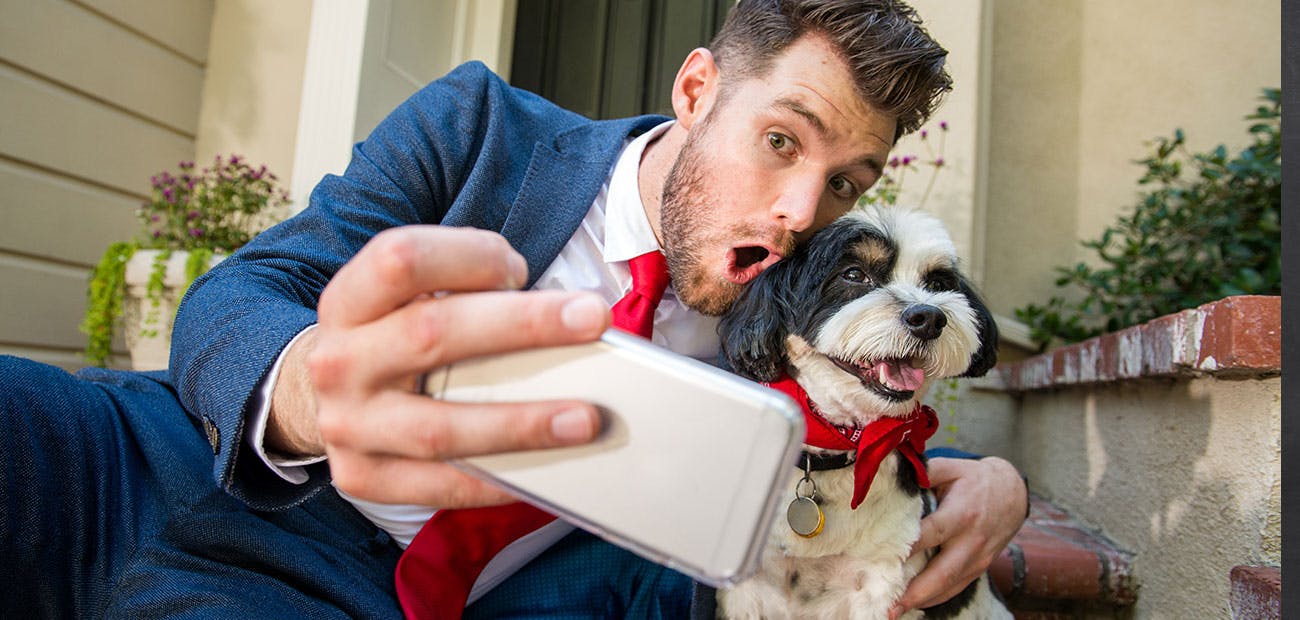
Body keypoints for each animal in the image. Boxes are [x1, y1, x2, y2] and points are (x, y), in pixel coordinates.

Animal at [712, 205, 1003, 616]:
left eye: (937, 282)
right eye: (853, 274)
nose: (929, 317)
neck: (842, 449)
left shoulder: (883, 582)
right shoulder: (745, 586)